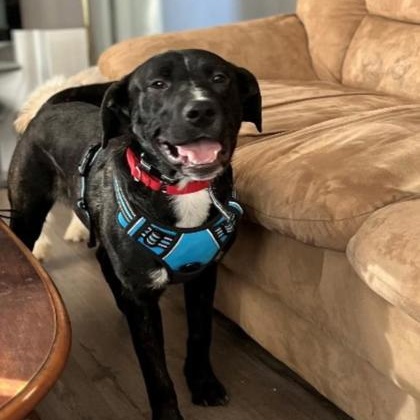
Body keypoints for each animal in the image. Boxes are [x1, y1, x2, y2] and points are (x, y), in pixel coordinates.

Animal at [8, 49, 261, 420]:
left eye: (220, 78)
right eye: (157, 84)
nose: (201, 110)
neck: (183, 189)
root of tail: (48, 107)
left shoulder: (204, 278)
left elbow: (201, 333)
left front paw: (202, 383)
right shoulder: (143, 298)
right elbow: (156, 371)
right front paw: (169, 414)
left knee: (104, 257)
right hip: (26, 217)